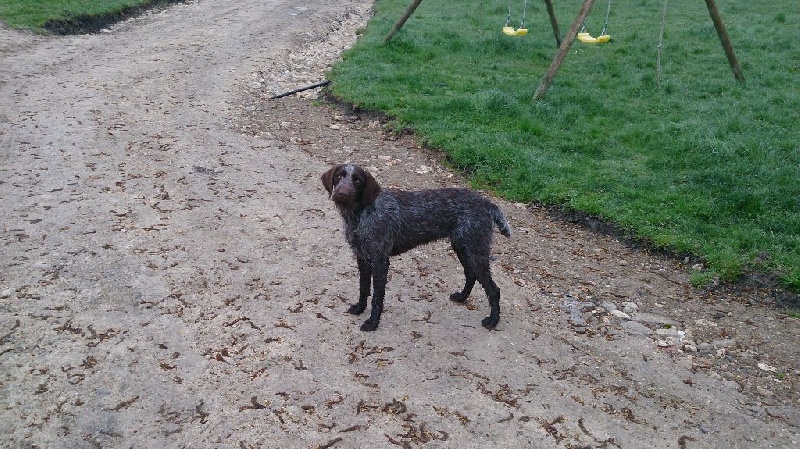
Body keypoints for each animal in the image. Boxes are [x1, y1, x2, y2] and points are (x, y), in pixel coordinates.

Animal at [320, 164, 512, 328]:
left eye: (357, 180)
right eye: (339, 176)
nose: (342, 193)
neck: (360, 215)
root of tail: (487, 204)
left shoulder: (380, 261)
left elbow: (377, 297)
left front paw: (373, 322)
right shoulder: (363, 258)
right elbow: (363, 288)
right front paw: (360, 308)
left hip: (475, 251)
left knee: (494, 290)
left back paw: (493, 320)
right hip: (463, 248)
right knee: (471, 275)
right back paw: (462, 297)